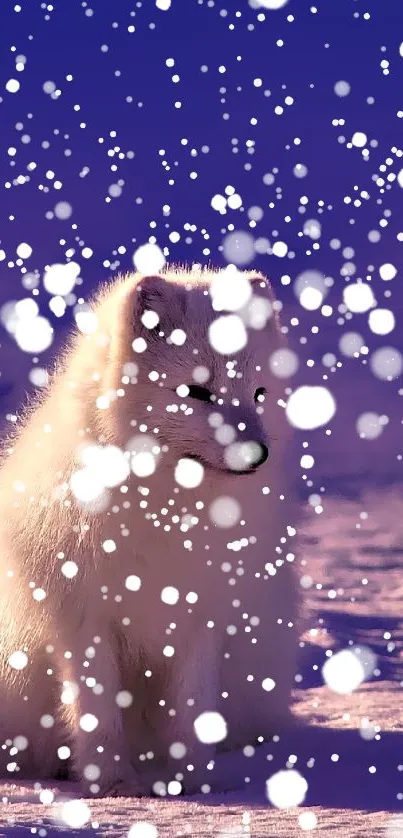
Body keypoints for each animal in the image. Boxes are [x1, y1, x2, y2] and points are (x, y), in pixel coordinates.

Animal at [0, 266, 296, 796]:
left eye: (260, 394)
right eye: (196, 392)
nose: (257, 455)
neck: (167, 512)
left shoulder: (203, 616)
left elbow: (194, 711)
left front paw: (194, 784)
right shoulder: (83, 617)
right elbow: (96, 712)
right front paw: (113, 784)